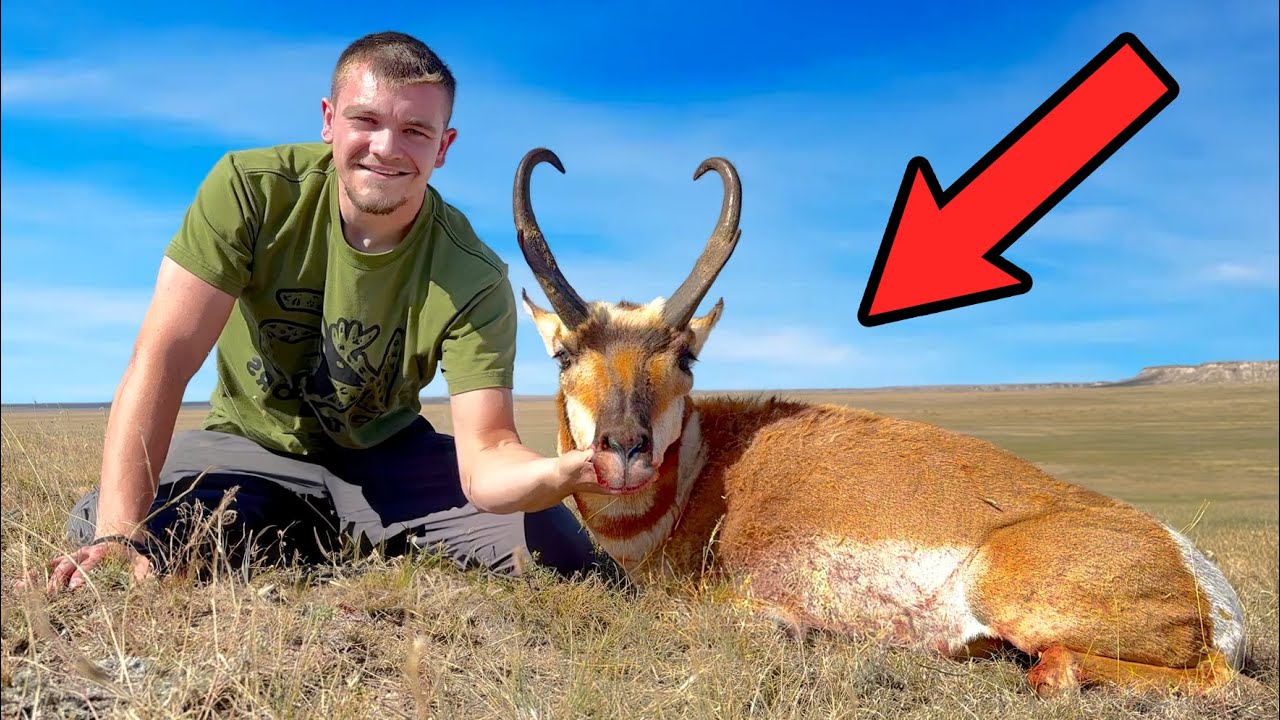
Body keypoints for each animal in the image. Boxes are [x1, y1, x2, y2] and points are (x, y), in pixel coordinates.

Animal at [510, 147, 1248, 698]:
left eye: (685, 356)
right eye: (564, 353)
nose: (626, 449)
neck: (707, 469)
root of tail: (1203, 582)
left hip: (1008, 591)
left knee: (1192, 676)